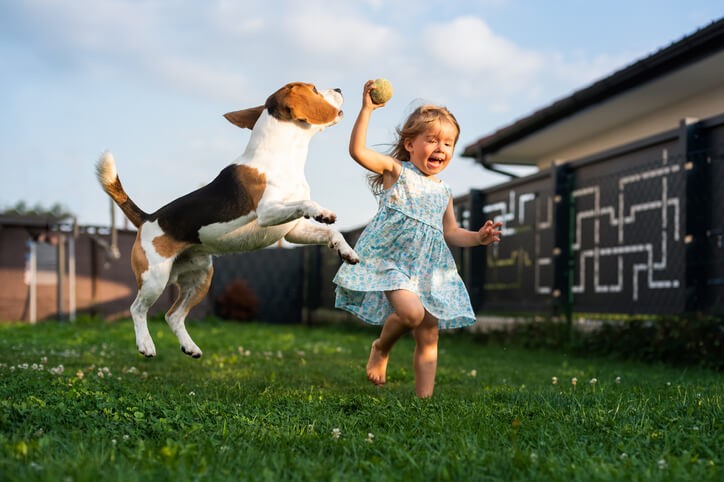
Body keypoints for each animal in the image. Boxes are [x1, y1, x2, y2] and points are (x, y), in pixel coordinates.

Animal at [96, 81, 360, 358]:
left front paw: (346, 251)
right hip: (154, 280)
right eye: (315, 89)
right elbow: (306, 204)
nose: (339, 89)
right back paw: (145, 344)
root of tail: (147, 219)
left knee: (173, 316)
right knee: (137, 309)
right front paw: (322, 212)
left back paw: (190, 347)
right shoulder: (267, 212)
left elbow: (332, 232)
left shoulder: (292, 230)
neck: (281, 155)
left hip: (201, 278)